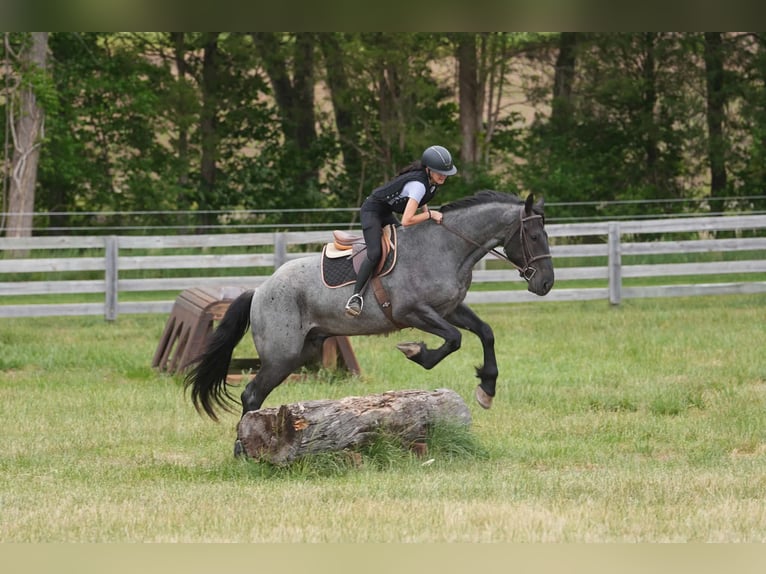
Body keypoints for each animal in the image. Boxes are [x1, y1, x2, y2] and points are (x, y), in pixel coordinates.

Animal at [184, 190, 554, 426]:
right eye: (535, 237)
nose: (546, 284)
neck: (445, 247)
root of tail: (259, 290)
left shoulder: (450, 309)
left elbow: (485, 333)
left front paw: (486, 389)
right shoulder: (412, 312)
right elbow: (453, 340)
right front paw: (416, 352)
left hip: (304, 350)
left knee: (256, 394)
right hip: (281, 355)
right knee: (250, 395)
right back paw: (245, 448)